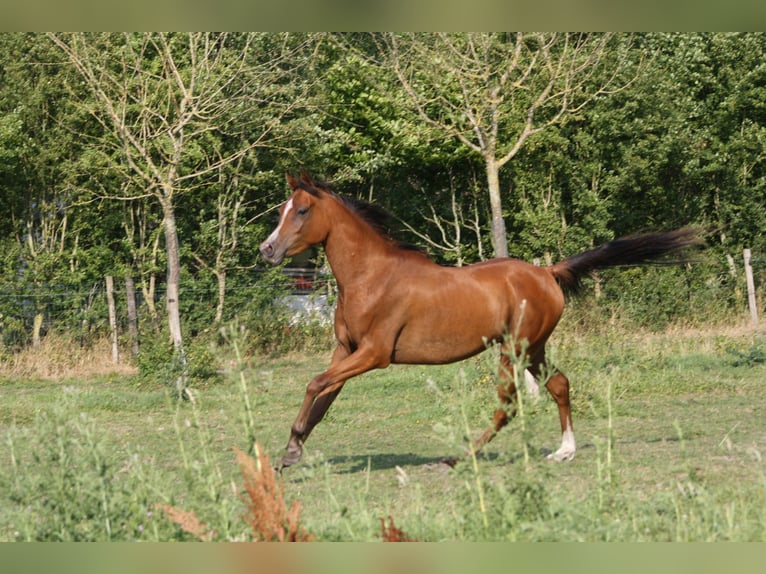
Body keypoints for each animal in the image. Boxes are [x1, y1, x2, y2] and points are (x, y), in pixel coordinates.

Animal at [260, 172, 703, 470]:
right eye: (282, 210)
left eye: (302, 210)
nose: (267, 250)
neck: (371, 276)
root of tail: (548, 273)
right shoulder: (346, 350)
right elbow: (323, 396)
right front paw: (291, 452)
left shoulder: (374, 354)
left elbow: (314, 383)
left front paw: (291, 449)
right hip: (533, 349)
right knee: (559, 384)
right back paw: (564, 451)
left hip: (513, 349)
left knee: (509, 405)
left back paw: (461, 457)